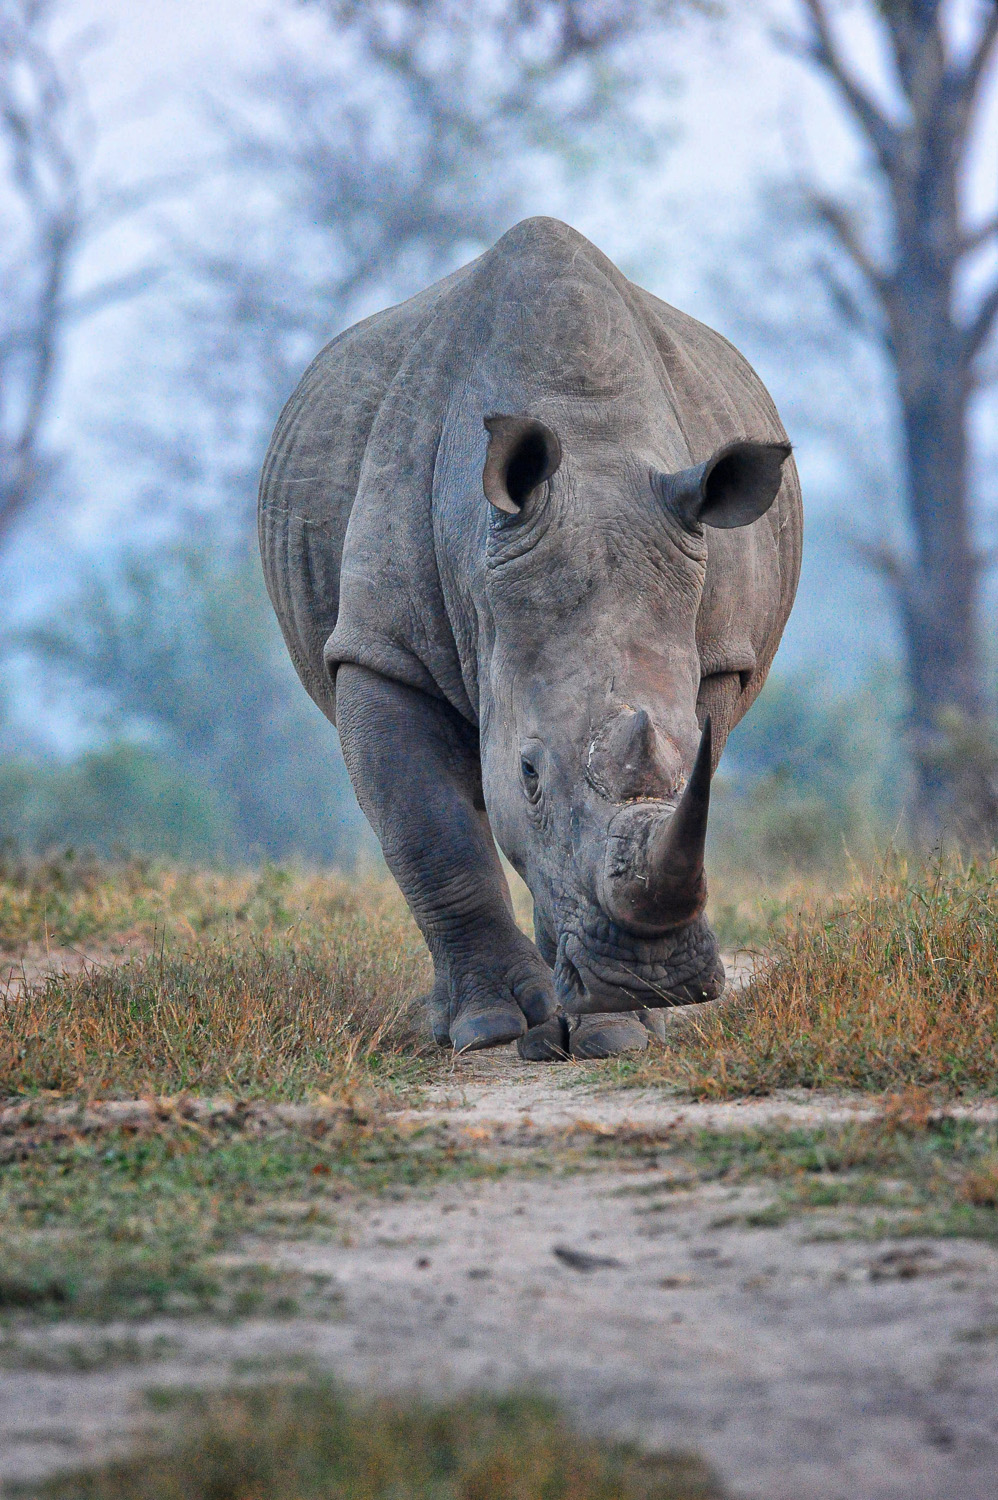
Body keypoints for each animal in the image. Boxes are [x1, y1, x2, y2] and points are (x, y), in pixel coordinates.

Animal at [260, 217, 802, 1060]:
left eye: (694, 753)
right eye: (530, 773)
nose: (657, 978)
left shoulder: (714, 660)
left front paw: (613, 1027)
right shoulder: (382, 654)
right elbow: (432, 832)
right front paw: (489, 1028)